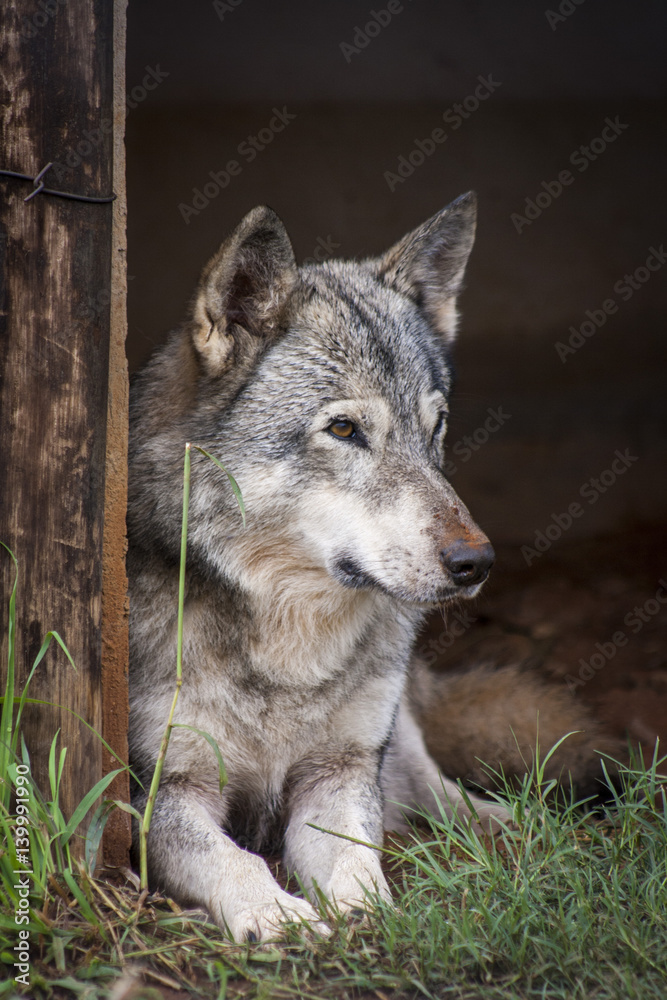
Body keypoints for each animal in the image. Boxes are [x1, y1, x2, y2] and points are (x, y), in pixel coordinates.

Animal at [127, 194, 617, 943]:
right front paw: (277, 915)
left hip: (393, 737)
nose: (476, 562)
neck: (290, 647)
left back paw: (517, 831)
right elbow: (234, 858)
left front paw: (369, 911)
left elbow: (357, 856)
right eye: (344, 430)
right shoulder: (163, 795)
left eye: (435, 426)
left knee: (439, 792)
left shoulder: (341, 773)